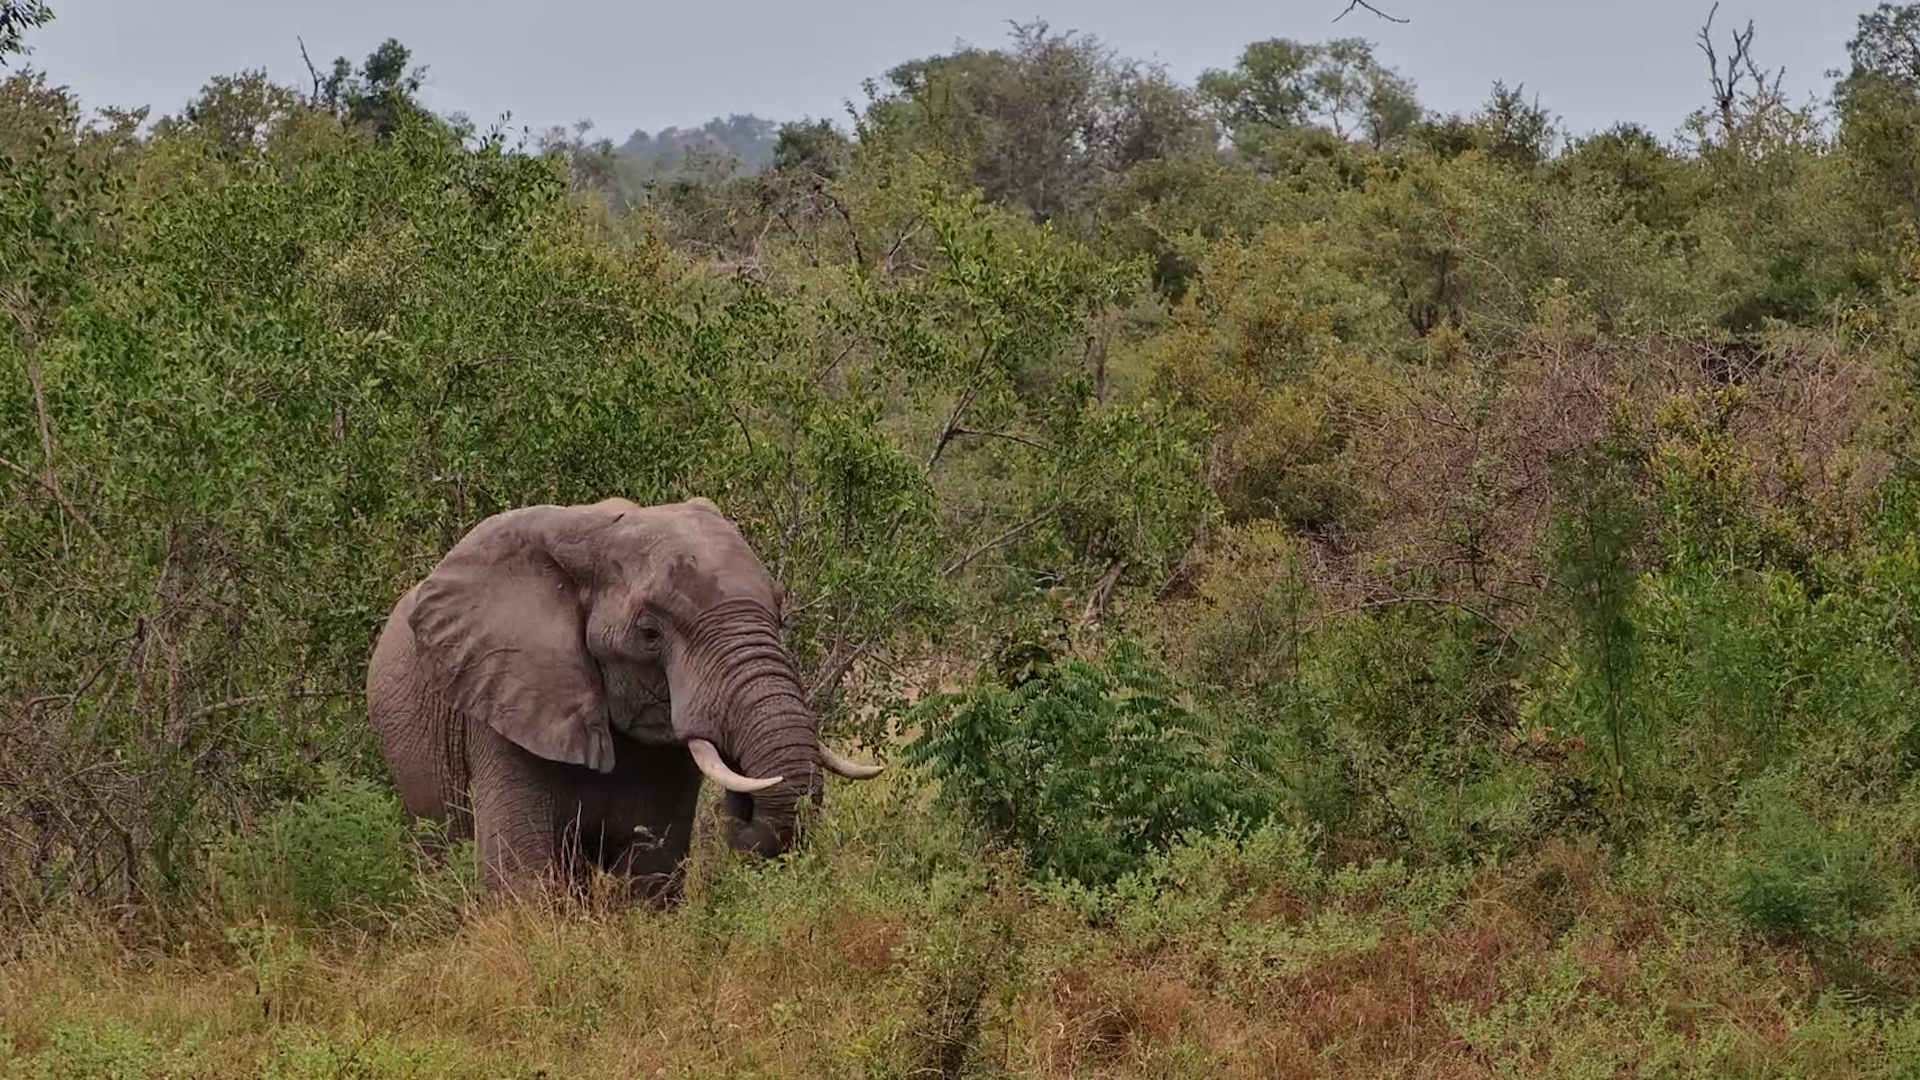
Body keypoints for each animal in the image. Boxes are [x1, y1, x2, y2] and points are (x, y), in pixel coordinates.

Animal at [365, 496, 883, 900]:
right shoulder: (504, 698)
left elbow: (652, 870)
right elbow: (521, 874)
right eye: (650, 634)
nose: (742, 810)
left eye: (781, 617)